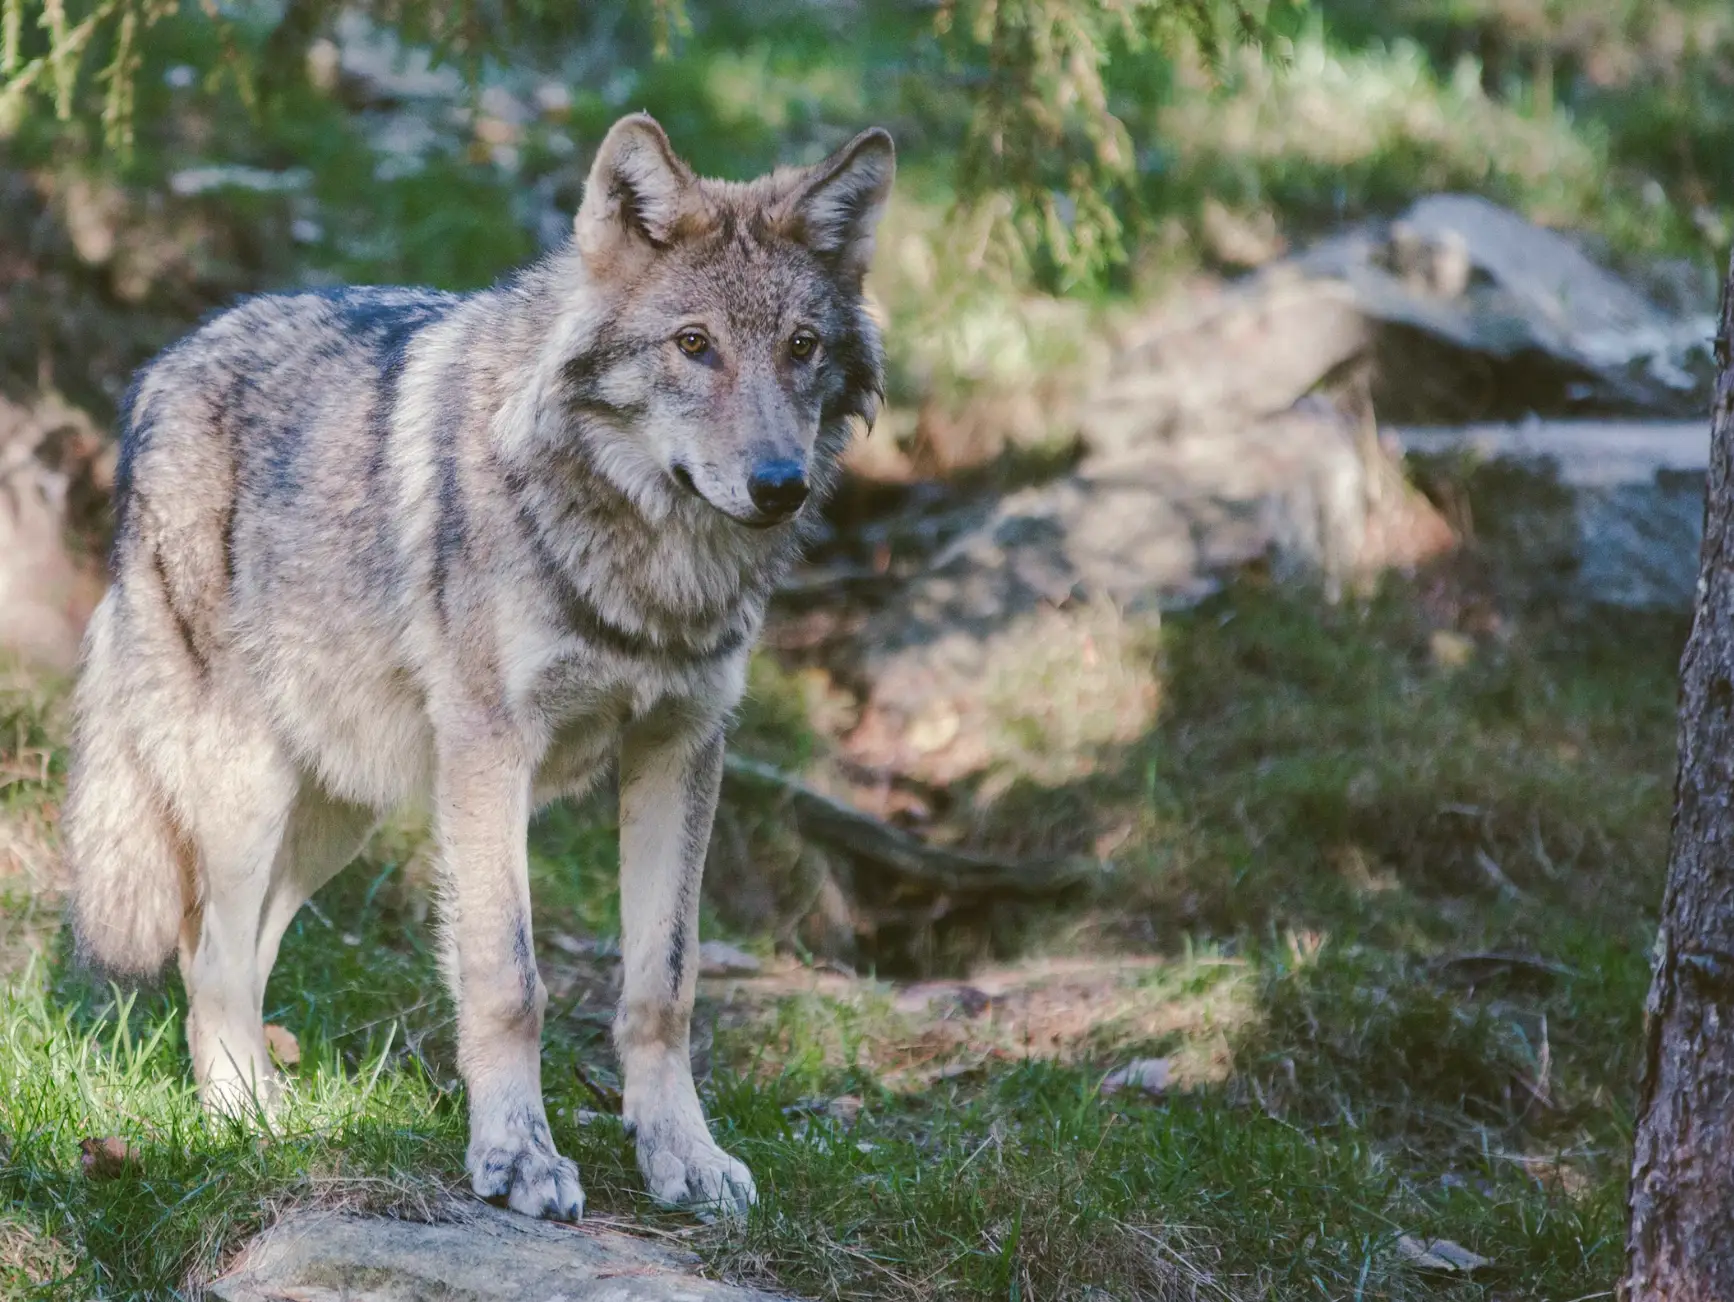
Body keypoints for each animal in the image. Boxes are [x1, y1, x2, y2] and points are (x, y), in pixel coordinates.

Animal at [60, 113, 893, 1220]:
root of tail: (161, 369)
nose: (779, 485)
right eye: (693, 344)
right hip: (246, 791)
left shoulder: (682, 746)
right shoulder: (496, 754)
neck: (650, 565)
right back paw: (247, 1124)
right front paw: (518, 1158)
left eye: (801, 347)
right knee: (208, 957)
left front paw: (683, 1154)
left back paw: (277, 1108)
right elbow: (509, 981)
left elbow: (663, 987)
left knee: (247, 948)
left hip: (340, 811)